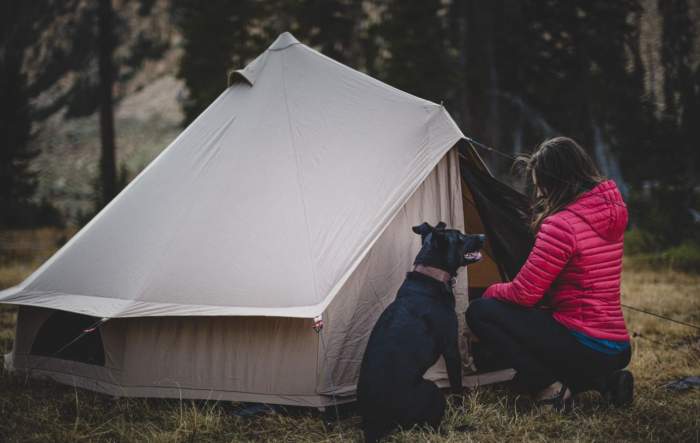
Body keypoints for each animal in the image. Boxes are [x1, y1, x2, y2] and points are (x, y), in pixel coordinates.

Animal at [358, 224, 484, 442]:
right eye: (460, 236)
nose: (483, 236)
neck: (431, 275)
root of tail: (374, 423)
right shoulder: (451, 348)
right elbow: (457, 386)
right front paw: (461, 410)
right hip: (431, 389)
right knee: (433, 428)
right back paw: (462, 427)